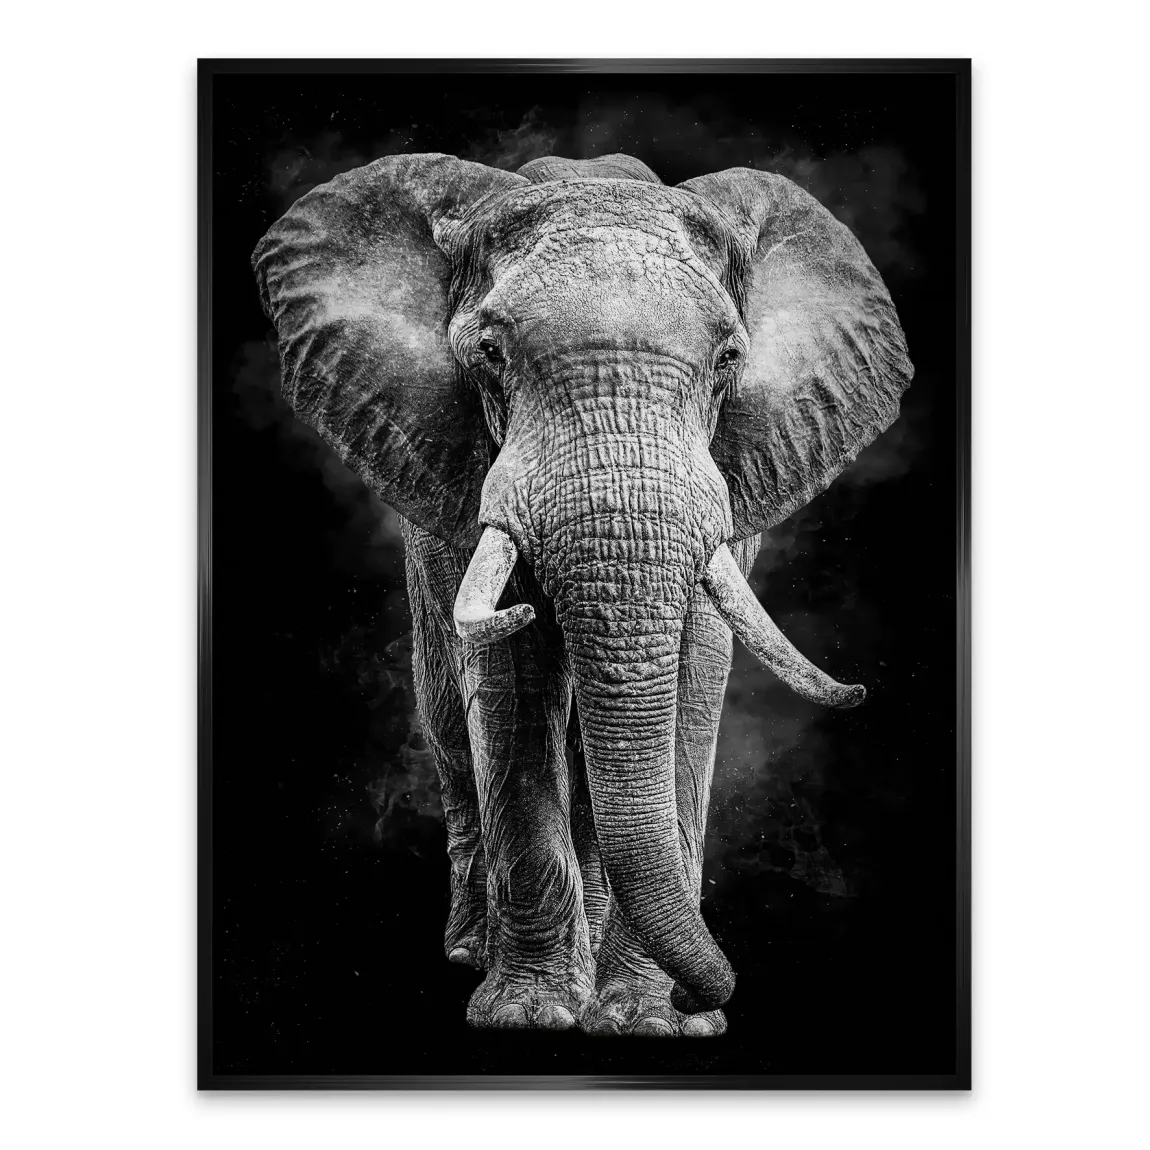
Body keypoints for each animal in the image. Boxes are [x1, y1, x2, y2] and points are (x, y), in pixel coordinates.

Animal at [251, 150, 913, 1037]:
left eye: (729, 360)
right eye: (489, 352)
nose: (703, 995)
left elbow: (692, 678)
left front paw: (654, 1022)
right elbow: (511, 688)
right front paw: (528, 1015)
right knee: (450, 719)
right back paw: (475, 952)